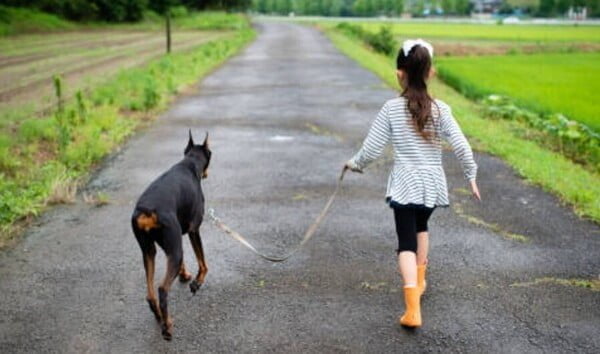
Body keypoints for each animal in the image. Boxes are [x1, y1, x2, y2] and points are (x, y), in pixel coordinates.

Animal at [131, 129, 211, 340]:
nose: (206, 174)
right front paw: (197, 283)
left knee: (150, 293)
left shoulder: (177, 236)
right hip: (174, 248)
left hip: (150, 250)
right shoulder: (193, 230)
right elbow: (203, 263)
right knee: (162, 289)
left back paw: (160, 317)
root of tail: (147, 211)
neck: (189, 163)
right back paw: (167, 327)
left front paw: (184, 275)